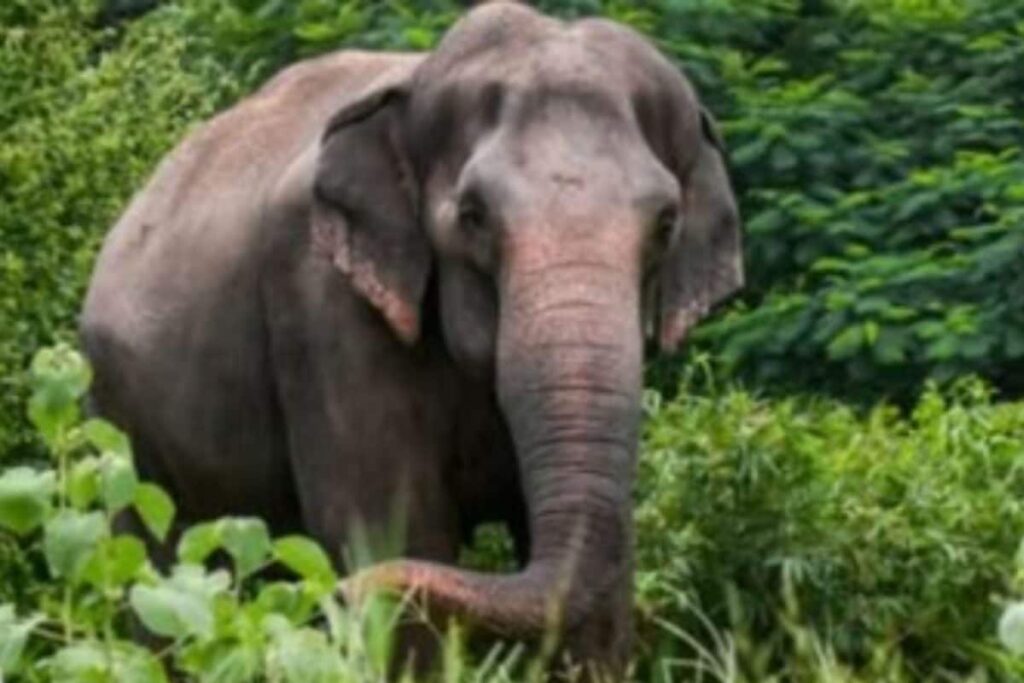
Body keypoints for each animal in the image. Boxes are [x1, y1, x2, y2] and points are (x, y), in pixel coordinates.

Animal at [80, 0, 742, 675]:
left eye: (666, 223)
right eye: (473, 215)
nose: (335, 594)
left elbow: (604, 572)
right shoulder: (319, 295)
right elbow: (391, 528)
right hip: (119, 425)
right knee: (160, 572)